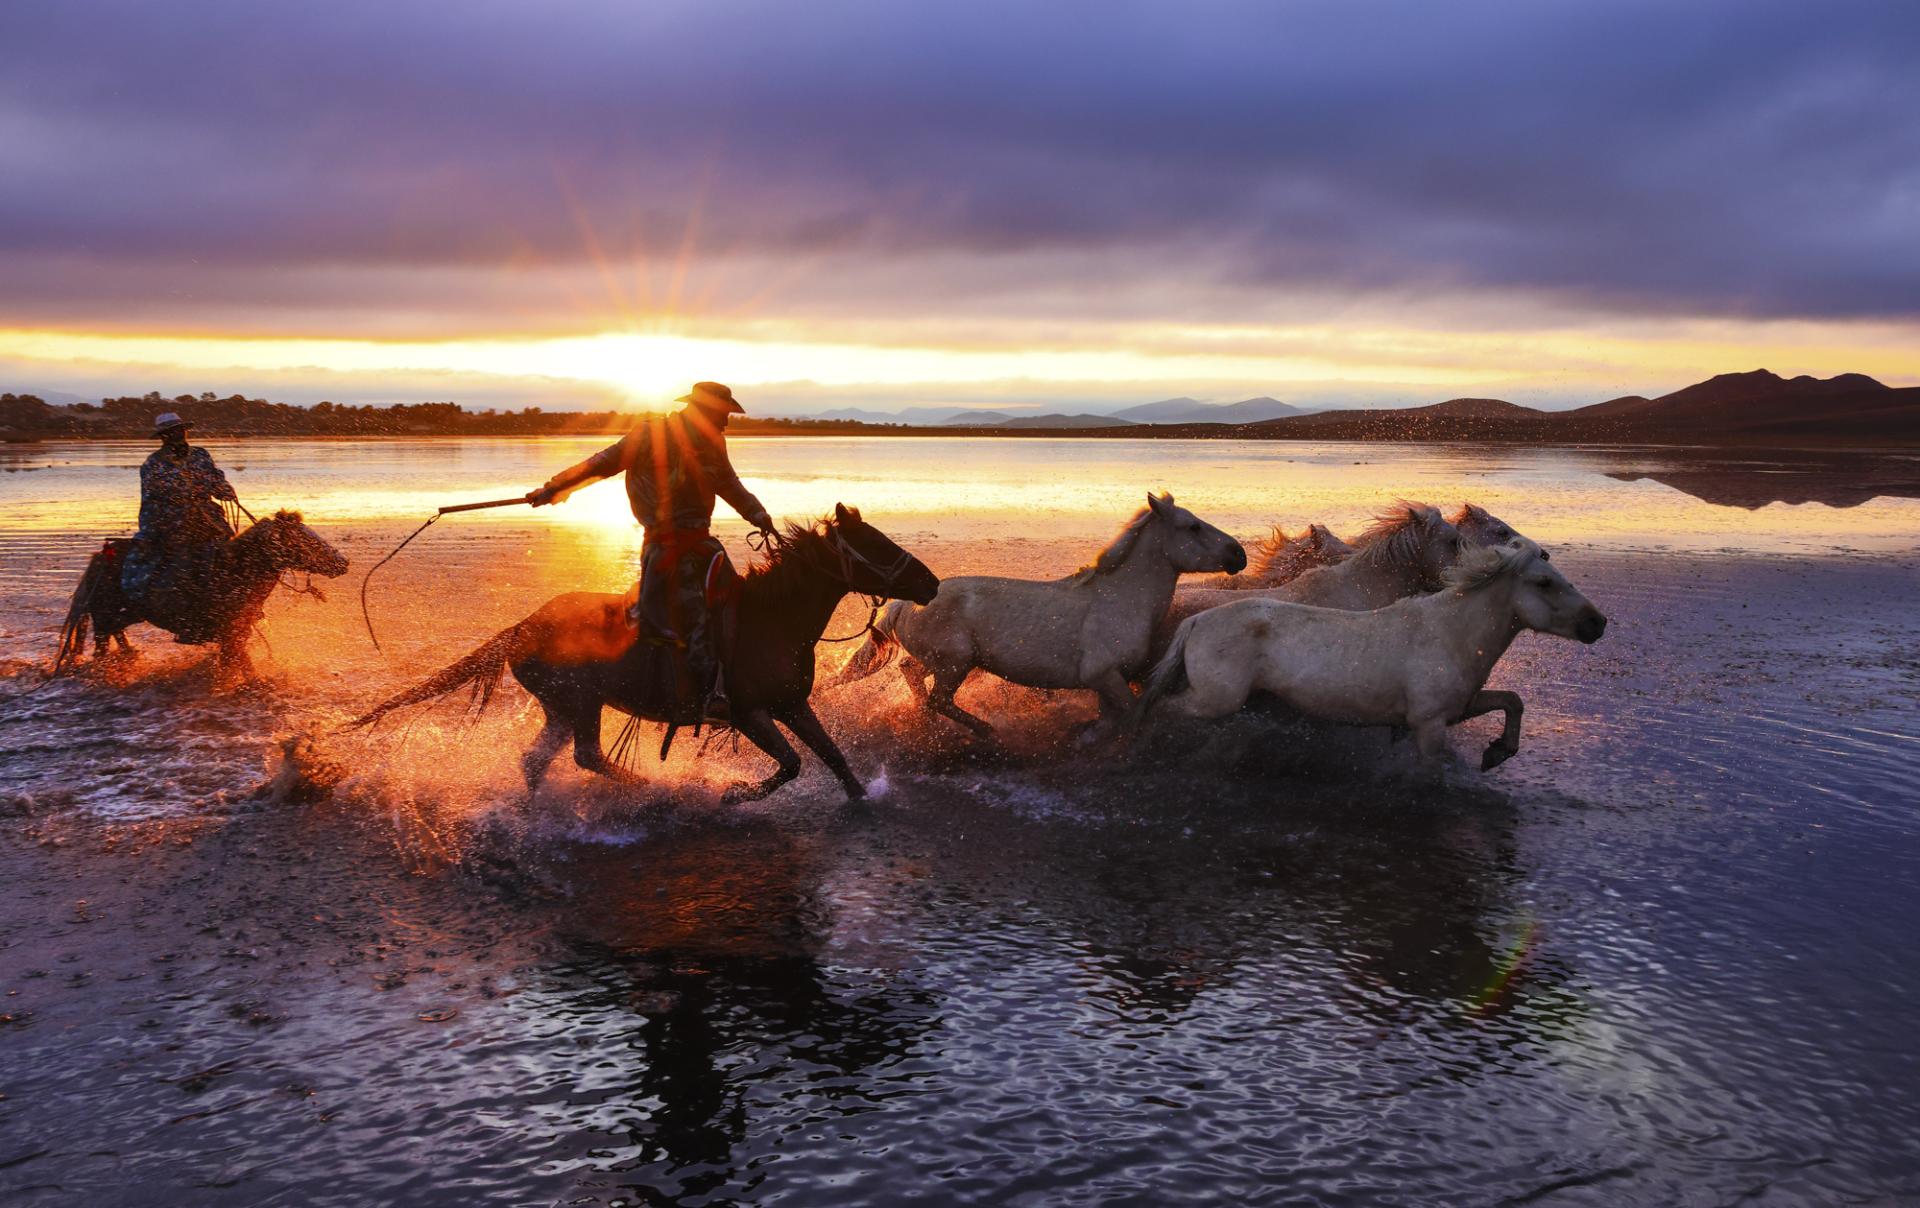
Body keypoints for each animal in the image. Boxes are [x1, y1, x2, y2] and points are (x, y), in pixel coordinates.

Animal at [53, 507, 349, 679]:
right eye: (305, 539)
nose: (342, 562)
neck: (236, 571)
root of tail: (100, 559)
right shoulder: (232, 634)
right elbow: (242, 667)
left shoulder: (238, 633)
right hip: (103, 618)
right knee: (103, 646)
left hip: (122, 616)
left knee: (118, 634)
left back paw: (130, 655)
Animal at [355, 503, 944, 806]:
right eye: (877, 544)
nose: (931, 583)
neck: (772, 621)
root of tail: (524, 627)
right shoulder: (750, 712)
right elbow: (793, 763)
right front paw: (734, 793)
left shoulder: (793, 705)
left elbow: (832, 758)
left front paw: (863, 800)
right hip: (579, 702)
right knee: (585, 756)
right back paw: (654, 788)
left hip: (562, 707)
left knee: (539, 760)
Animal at [837, 491, 1244, 733]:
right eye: (1192, 526)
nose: (1238, 554)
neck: (1119, 600)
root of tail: (904, 602)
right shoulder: (1106, 676)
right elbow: (1132, 719)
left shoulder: (1106, 682)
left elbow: (1110, 721)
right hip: (955, 663)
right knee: (939, 698)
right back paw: (987, 732)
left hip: (946, 661)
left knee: (912, 674)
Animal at [1136, 541, 1605, 768]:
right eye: (1544, 582)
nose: (1597, 623)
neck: (1450, 632)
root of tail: (1197, 621)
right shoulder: (1429, 724)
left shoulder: (1458, 707)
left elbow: (1513, 701)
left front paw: (1497, 753)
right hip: (1216, 700)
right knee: (1162, 709)